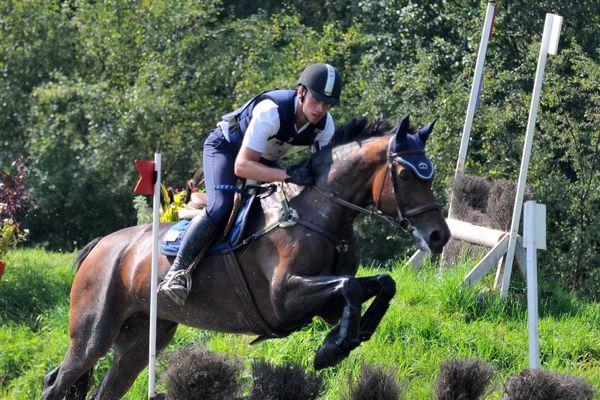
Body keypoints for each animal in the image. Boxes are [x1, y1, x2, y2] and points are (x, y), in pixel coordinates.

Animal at [41, 114, 450, 398]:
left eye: (428, 175)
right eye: (406, 175)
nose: (439, 236)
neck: (320, 213)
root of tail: (102, 246)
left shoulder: (324, 304)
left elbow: (380, 283)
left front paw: (348, 338)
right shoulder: (284, 299)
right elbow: (349, 286)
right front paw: (331, 350)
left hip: (142, 340)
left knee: (106, 388)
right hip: (93, 334)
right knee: (57, 381)